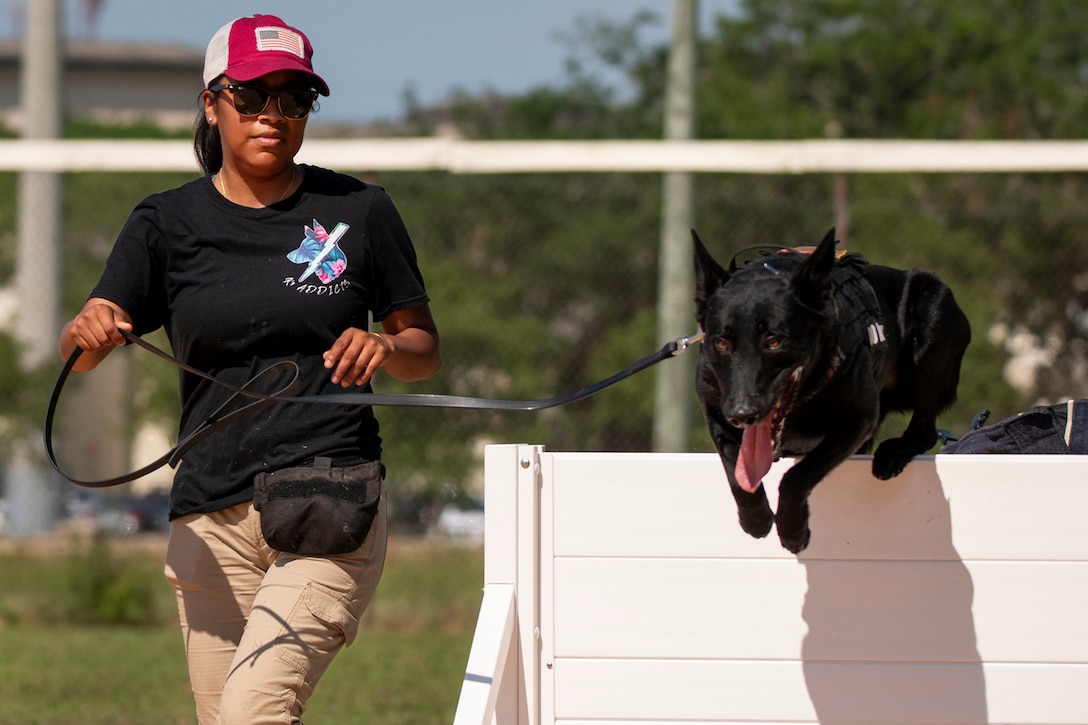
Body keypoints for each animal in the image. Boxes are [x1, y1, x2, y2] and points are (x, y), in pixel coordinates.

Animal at [691, 228, 974, 550]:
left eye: (774, 341)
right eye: (722, 343)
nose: (742, 414)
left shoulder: (858, 421)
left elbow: (797, 476)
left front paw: (792, 530)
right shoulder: (715, 411)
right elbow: (736, 472)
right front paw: (757, 519)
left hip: (933, 310)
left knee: (924, 430)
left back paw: (895, 452)